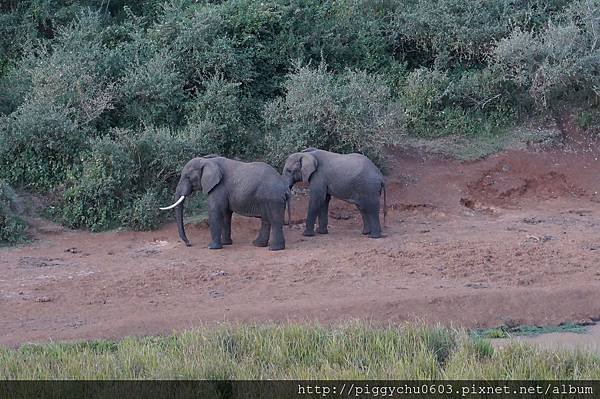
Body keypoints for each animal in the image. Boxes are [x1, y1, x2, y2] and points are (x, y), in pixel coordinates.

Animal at [159, 155, 290, 252]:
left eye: (187, 177)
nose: (189, 243)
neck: (207, 160)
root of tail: (285, 187)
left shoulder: (218, 187)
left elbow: (215, 211)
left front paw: (212, 247)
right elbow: (226, 214)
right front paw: (226, 243)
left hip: (273, 198)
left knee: (275, 220)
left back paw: (274, 249)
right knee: (266, 220)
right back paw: (258, 244)